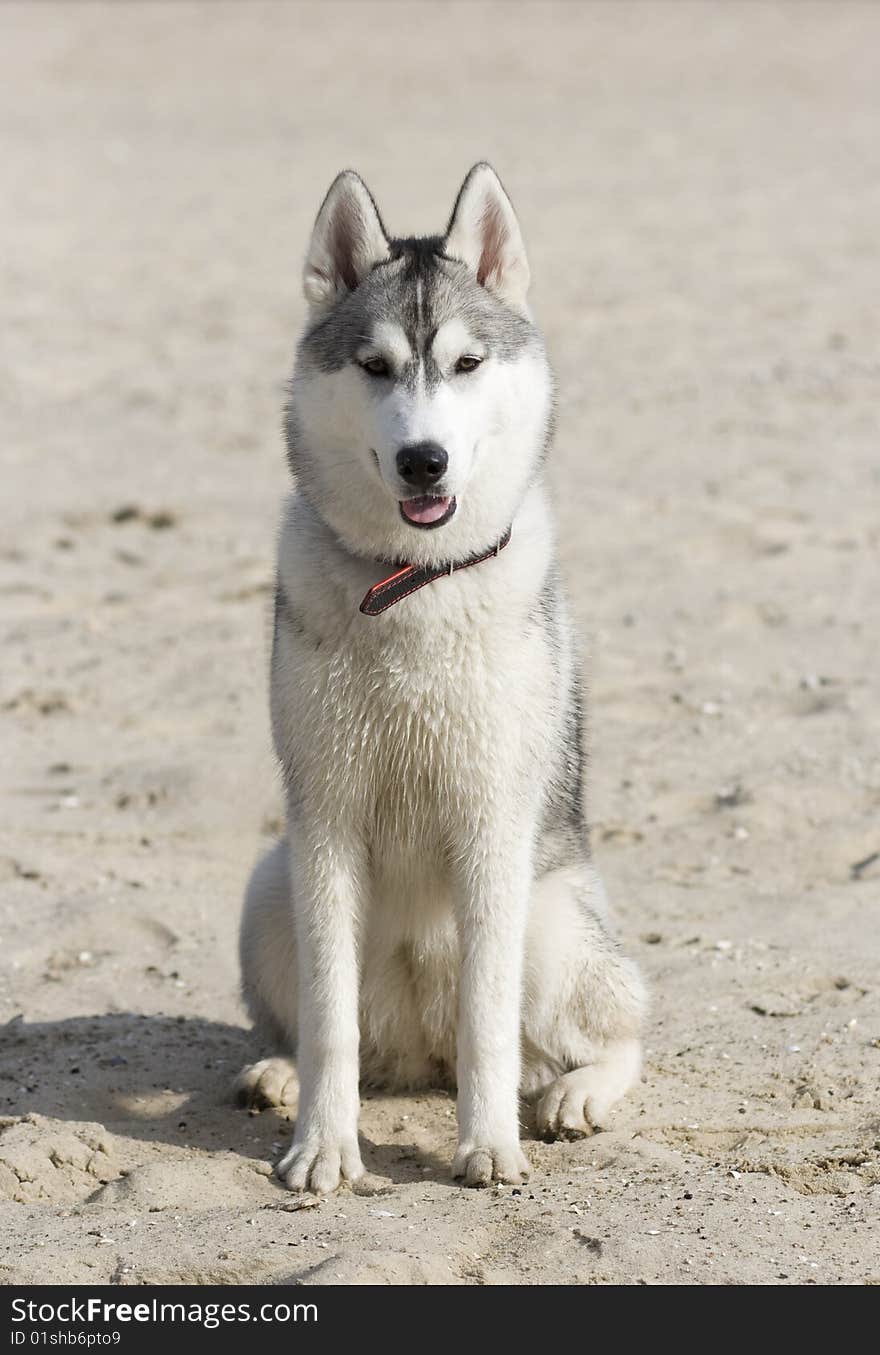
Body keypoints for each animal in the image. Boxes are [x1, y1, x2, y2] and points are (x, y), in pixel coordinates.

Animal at [237, 163, 642, 1192]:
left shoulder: (493, 826)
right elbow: (330, 1023)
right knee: (336, 1033)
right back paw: (277, 1071)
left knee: (618, 1025)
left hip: (552, 921)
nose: (426, 460)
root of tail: (423, 1053)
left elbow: (490, 1024)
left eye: (465, 364)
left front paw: (489, 1144)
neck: (411, 584)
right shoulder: (325, 821)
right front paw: (323, 1147)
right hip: (271, 887)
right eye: (375, 367)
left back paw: (574, 1093)